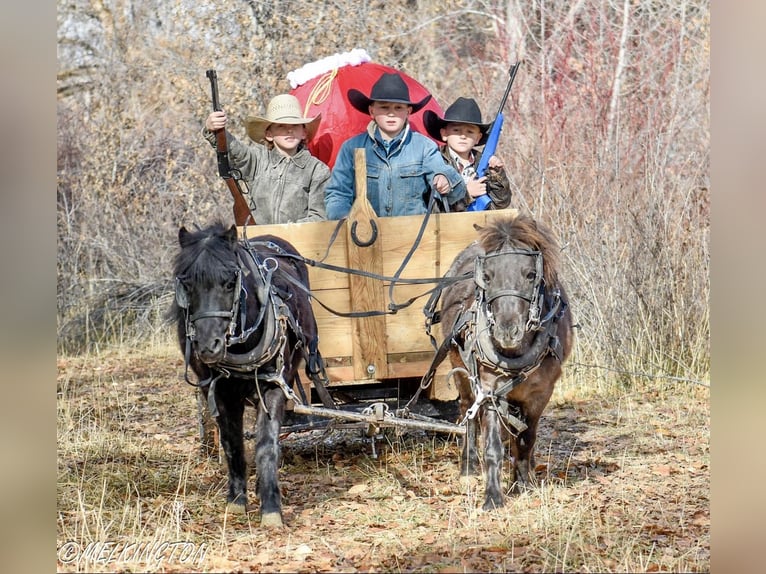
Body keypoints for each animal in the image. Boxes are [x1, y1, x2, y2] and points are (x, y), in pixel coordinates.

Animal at [171, 223, 328, 528]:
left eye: (229, 282)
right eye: (187, 284)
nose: (207, 347)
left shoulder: (274, 385)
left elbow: (266, 443)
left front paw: (271, 508)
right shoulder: (219, 393)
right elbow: (232, 443)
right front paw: (236, 500)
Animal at [440, 214, 572, 510]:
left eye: (531, 274)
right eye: (487, 276)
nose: (507, 331)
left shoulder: (540, 394)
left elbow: (525, 439)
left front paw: (522, 483)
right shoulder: (490, 390)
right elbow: (493, 446)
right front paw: (493, 496)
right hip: (462, 373)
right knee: (468, 412)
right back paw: (469, 465)